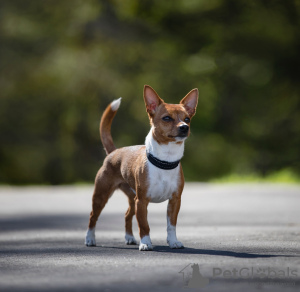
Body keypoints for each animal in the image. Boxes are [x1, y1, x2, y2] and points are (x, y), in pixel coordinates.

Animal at [84, 84, 198, 251]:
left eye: (187, 119)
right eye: (167, 118)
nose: (184, 127)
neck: (165, 161)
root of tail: (114, 152)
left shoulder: (174, 201)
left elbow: (171, 225)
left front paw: (173, 241)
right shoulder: (142, 201)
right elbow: (144, 225)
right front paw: (145, 243)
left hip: (132, 199)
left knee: (126, 215)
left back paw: (129, 238)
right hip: (102, 196)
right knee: (93, 216)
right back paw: (90, 239)